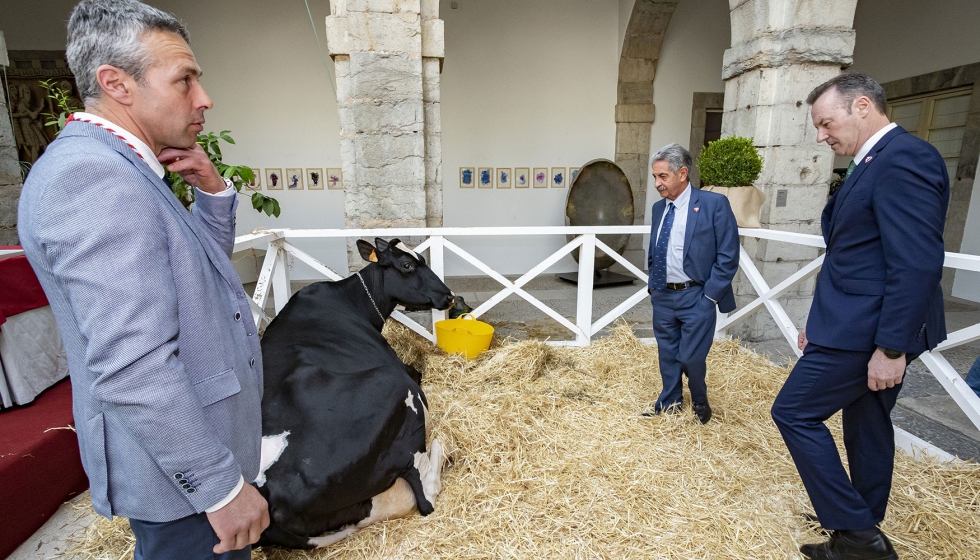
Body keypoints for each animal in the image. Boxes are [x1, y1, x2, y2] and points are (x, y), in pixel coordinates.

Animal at [251, 236, 454, 548]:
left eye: (421, 258)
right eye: (407, 265)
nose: (449, 295)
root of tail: (267, 494)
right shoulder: (403, 370)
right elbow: (419, 374)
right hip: (396, 393)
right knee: (425, 496)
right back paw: (441, 446)